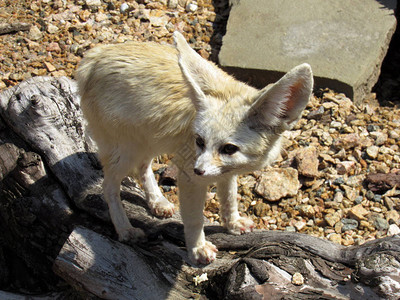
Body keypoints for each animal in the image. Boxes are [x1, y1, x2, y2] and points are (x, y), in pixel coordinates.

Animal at [76, 31, 314, 264]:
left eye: (229, 149)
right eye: (199, 141)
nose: (198, 170)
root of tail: (94, 56)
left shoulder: (226, 171)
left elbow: (229, 197)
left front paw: (232, 223)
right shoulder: (189, 175)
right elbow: (194, 218)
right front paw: (197, 249)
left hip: (148, 141)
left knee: (143, 167)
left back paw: (157, 201)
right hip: (128, 150)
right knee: (109, 186)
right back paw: (125, 229)